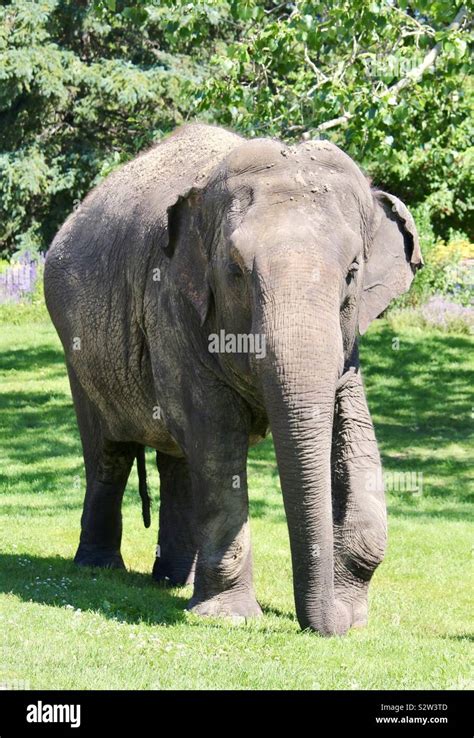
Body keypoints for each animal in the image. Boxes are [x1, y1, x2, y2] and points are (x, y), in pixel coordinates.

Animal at [45, 121, 422, 632]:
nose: (331, 626)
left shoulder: (348, 351)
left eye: (352, 272)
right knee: (111, 452)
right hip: (77, 347)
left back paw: (172, 582)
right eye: (236, 271)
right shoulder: (170, 303)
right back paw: (99, 569)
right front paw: (228, 618)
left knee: (178, 459)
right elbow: (217, 435)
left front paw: (355, 614)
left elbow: (356, 432)